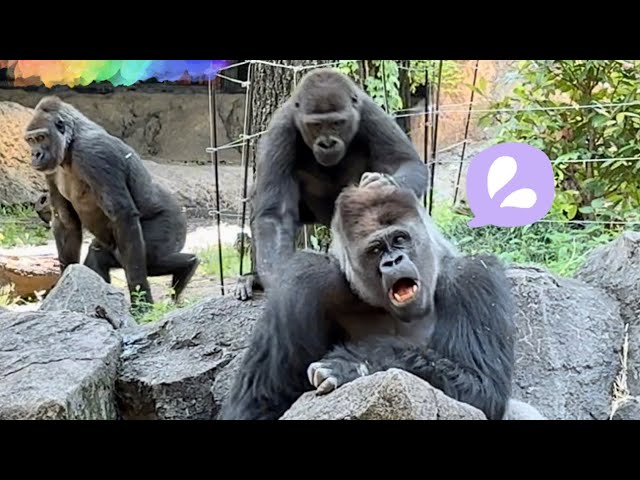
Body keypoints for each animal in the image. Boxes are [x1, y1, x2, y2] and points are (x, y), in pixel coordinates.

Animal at [23, 96, 199, 308]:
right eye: (31, 140)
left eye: (41, 138)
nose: (35, 154)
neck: (70, 143)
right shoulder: (51, 170)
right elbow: (66, 222)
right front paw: (63, 283)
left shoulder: (95, 154)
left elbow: (122, 215)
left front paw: (141, 300)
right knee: (100, 254)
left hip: (173, 225)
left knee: (147, 258)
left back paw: (189, 263)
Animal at [218, 182, 517, 420]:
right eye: (376, 250)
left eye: (400, 239)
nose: (393, 261)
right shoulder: (304, 280)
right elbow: (259, 399)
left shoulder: (475, 278)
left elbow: (483, 386)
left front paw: (353, 364)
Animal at [233, 67, 429, 301]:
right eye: (316, 126)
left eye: (337, 123)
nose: (327, 143)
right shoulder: (281, 129)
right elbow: (274, 217)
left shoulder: (370, 112)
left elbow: (407, 163)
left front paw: (381, 183)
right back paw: (253, 278)